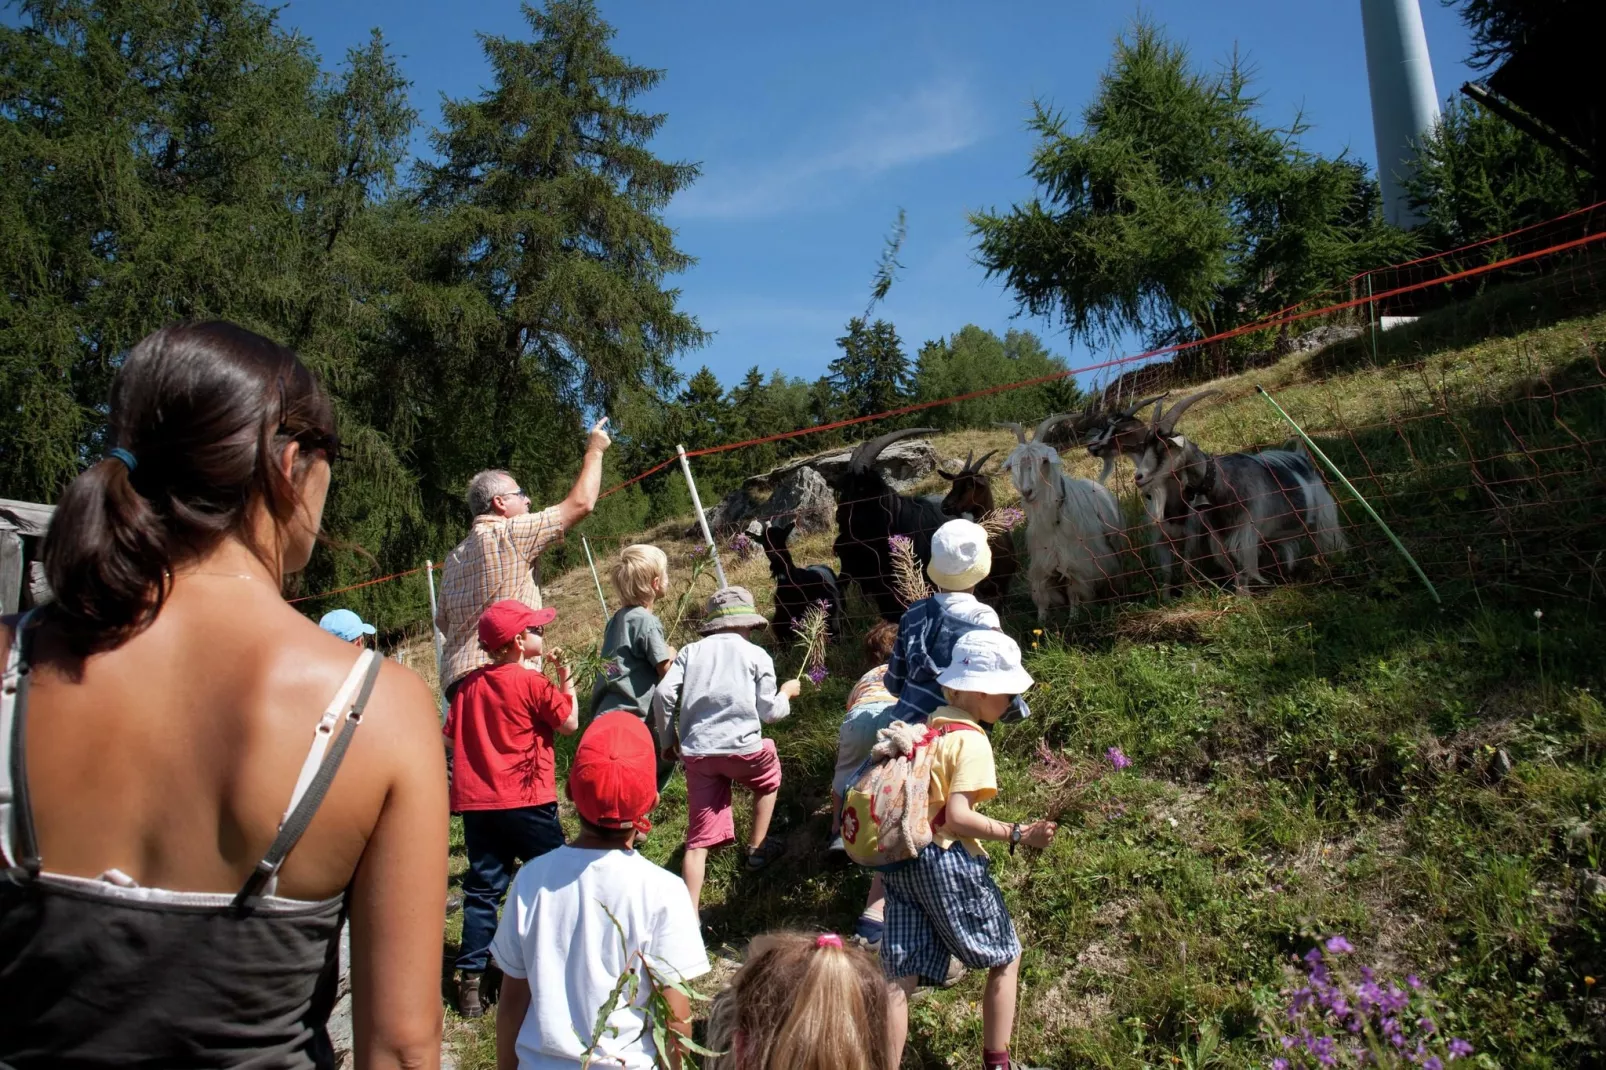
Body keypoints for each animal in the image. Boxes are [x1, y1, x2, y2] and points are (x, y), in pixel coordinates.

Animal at [995, 414, 1124, 620]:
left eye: (1044, 461)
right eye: (1016, 465)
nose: (1027, 492)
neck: (1054, 519)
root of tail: (1099, 484)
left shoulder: (1076, 562)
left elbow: (1074, 592)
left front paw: (1073, 618)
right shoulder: (1042, 562)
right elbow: (1042, 595)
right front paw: (1041, 620)